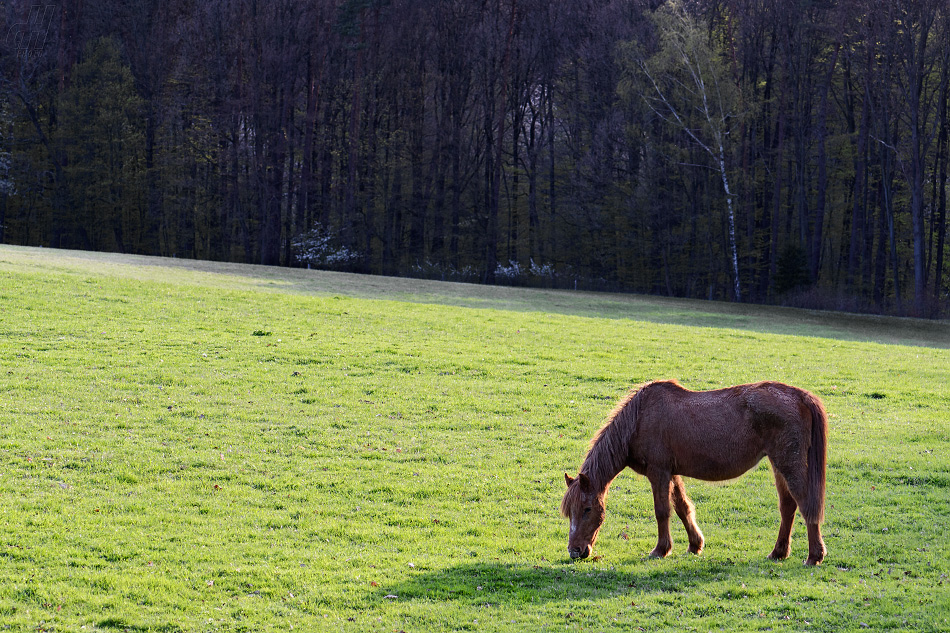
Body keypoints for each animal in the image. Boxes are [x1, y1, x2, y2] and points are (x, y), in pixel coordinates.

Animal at [560, 378, 828, 564]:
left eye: (587, 509)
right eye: (570, 512)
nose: (575, 552)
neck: (639, 419)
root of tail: (800, 396)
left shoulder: (658, 473)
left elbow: (662, 511)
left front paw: (661, 550)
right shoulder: (672, 473)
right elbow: (682, 507)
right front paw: (694, 545)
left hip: (788, 464)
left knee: (806, 505)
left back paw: (814, 556)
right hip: (778, 466)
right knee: (788, 507)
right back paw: (778, 552)